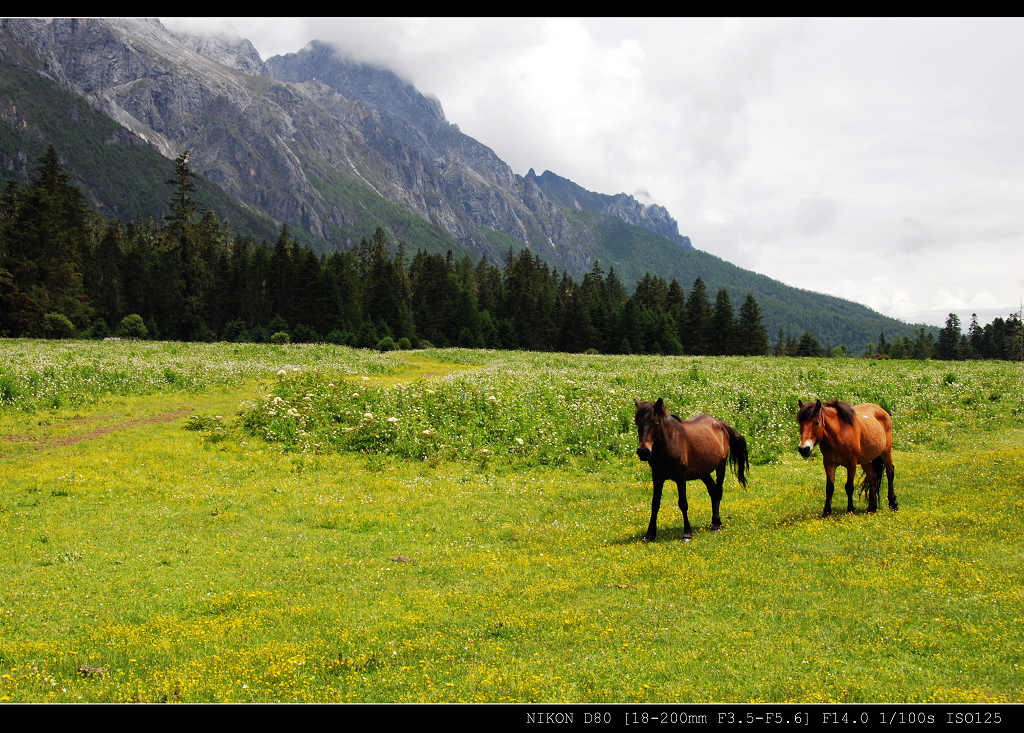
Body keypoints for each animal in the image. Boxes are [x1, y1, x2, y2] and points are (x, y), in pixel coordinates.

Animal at [626, 397, 749, 540]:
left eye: (655, 423)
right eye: (637, 423)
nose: (643, 451)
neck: (669, 442)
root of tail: (721, 424)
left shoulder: (680, 478)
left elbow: (683, 503)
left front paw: (687, 533)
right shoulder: (657, 477)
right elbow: (655, 503)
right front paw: (650, 534)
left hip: (720, 466)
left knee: (718, 491)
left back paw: (716, 524)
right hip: (703, 472)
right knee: (713, 491)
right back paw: (715, 522)